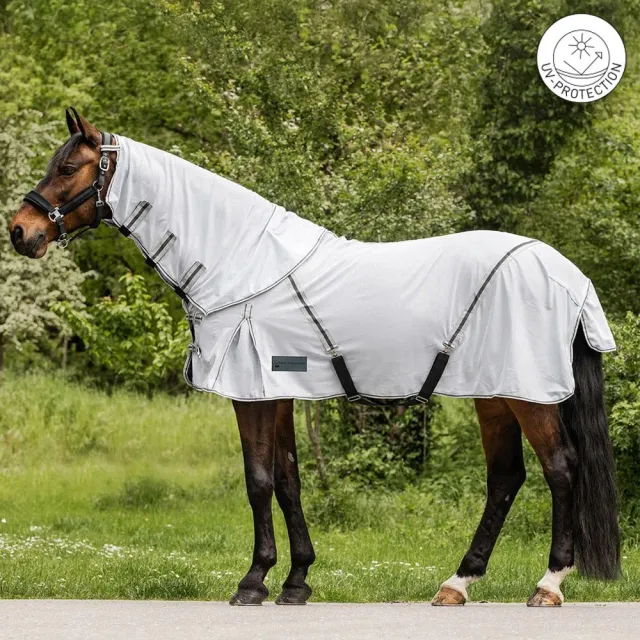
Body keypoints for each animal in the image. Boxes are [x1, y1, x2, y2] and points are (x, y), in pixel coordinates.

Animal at [9, 109, 620, 607]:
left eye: (68, 167)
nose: (20, 231)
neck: (244, 263)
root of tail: (568, 274)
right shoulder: (277, 393)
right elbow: (288, 480)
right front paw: (297, 581)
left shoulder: (252, 394)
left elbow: (258, 479)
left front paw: (253, 582)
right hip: (494, 393)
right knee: (506, 477)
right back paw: (457, 584)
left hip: (528, 394)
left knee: (561, 468)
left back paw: (548, 585)